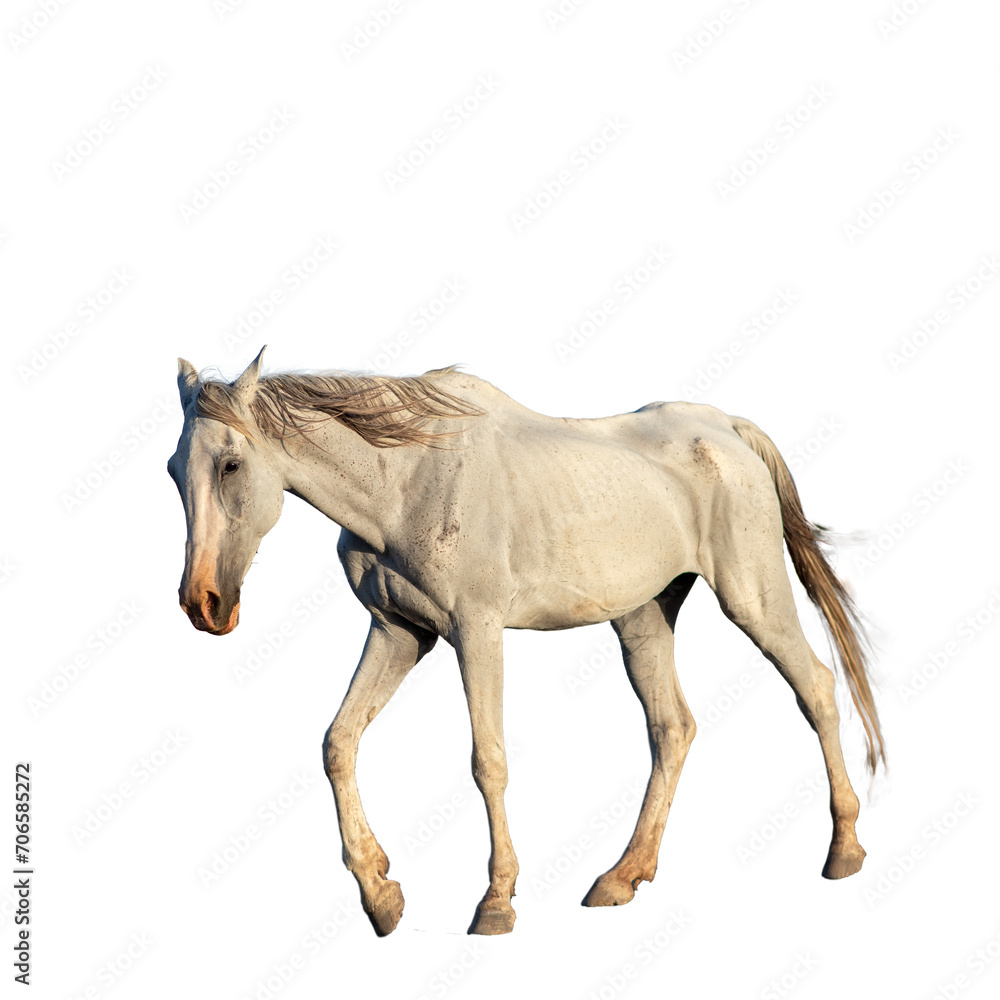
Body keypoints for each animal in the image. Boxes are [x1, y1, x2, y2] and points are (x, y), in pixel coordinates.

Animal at [167, 346, 884, 937]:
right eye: (175, 470)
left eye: (231, 464)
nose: (203, 604)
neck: (406, 480)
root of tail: (726, 429)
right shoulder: (399, 633)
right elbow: (338, 743)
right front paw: (380, 894)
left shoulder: (476, 632)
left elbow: (488, 761)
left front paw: (496, 903)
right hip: (643, 618)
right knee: (671, 728)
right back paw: (622, 877)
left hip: (751, 596)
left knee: (816, 687)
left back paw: (844, 850)